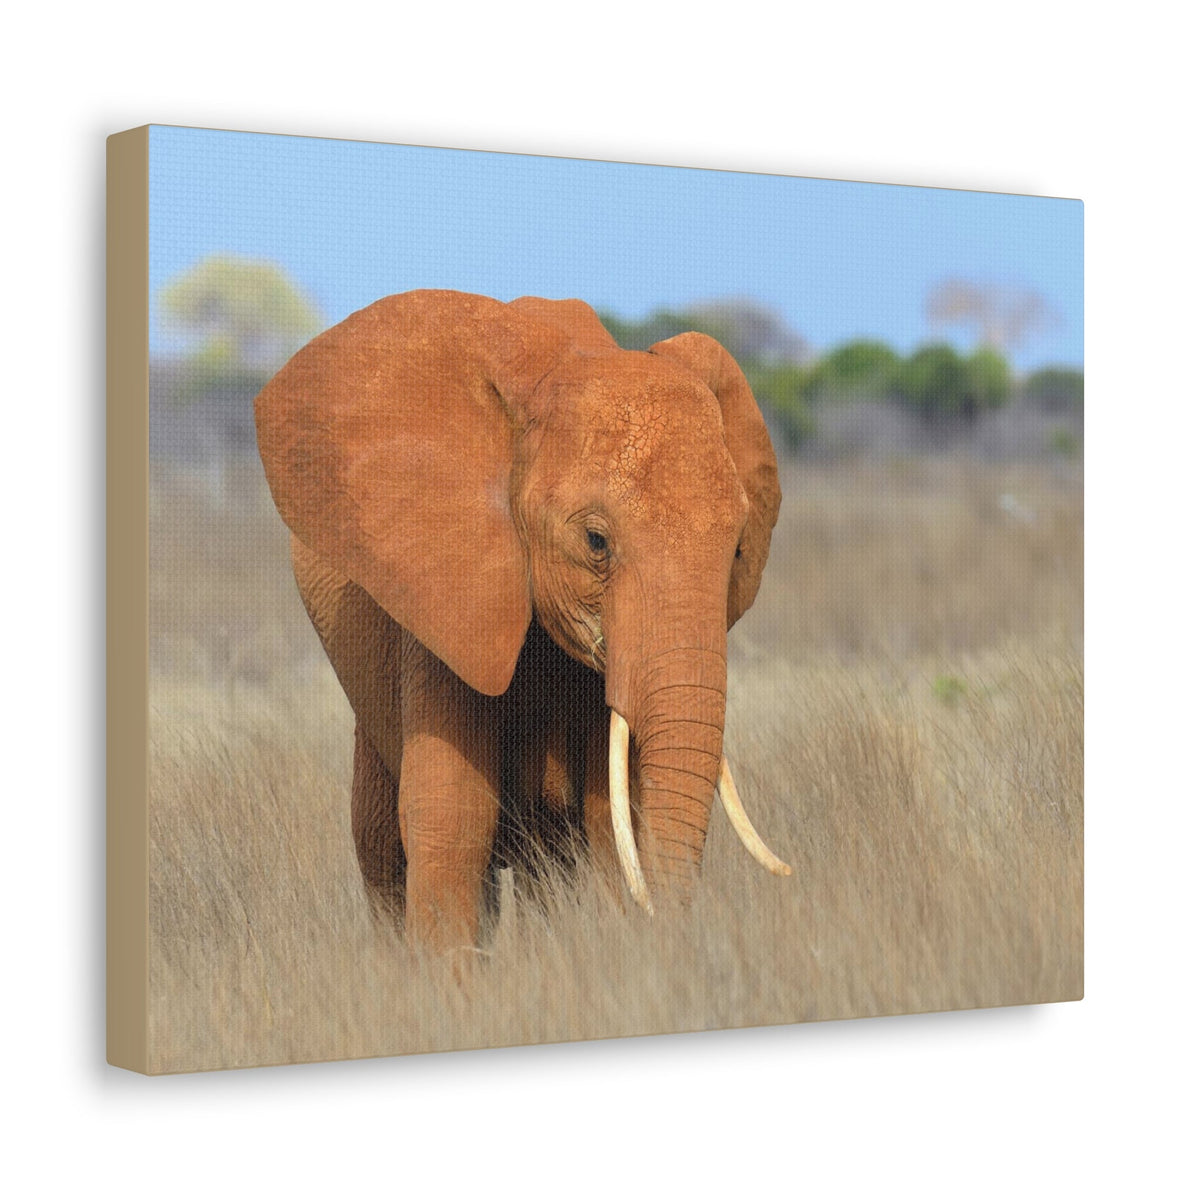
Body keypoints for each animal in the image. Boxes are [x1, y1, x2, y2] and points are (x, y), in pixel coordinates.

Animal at [255, 289, 789, 951]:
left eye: (739, 548)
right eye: (595, 542)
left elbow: (607, 816)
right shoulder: (440, 596)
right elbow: (451, 814)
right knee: (382, 846)